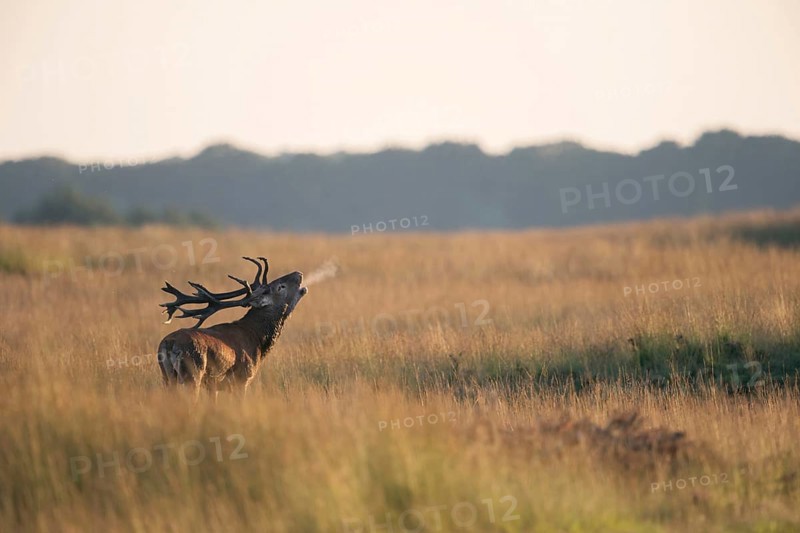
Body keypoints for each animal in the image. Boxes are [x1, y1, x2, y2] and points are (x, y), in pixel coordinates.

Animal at [157, 256, 307, 399]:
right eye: (281, 286)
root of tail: (169, 343)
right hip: (192, 373)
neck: (257, 339)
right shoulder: (242, 379)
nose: (298, 273)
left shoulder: (213, 386)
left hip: (167, 377)